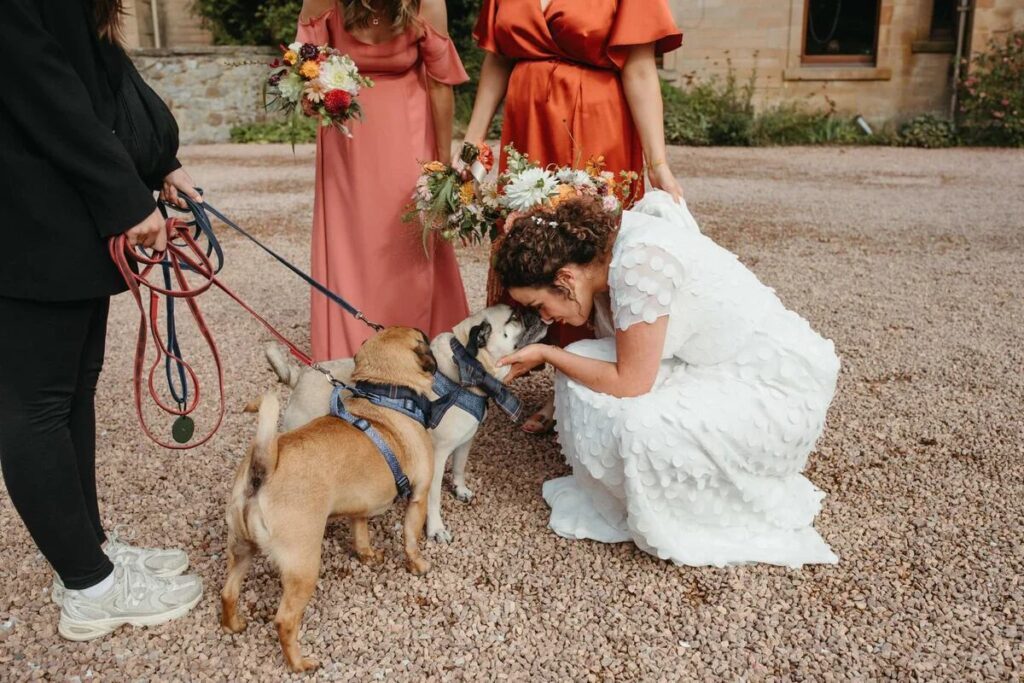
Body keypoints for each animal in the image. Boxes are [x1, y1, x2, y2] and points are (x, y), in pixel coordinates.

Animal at [220, 327, 436, 671]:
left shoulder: (360, 508)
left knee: (228, 592)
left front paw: (366, 555)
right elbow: (411, 539)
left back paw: (234, 625)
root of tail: (262, 469)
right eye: (423, 338)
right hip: (303, 567)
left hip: (242, 550)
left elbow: (360, 533)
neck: (387, 393)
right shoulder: (419, 497)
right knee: (284, 621)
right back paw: (299, 663)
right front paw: (417, 565)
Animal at [268, 305, 548, 544]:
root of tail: (300, 376)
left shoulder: (465, 441)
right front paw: (436, 529)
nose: (536, 311)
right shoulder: (437, 456)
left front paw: (460, 489)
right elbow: (434, 498)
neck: (468, 370)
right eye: (515, 317)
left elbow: (459, 468)